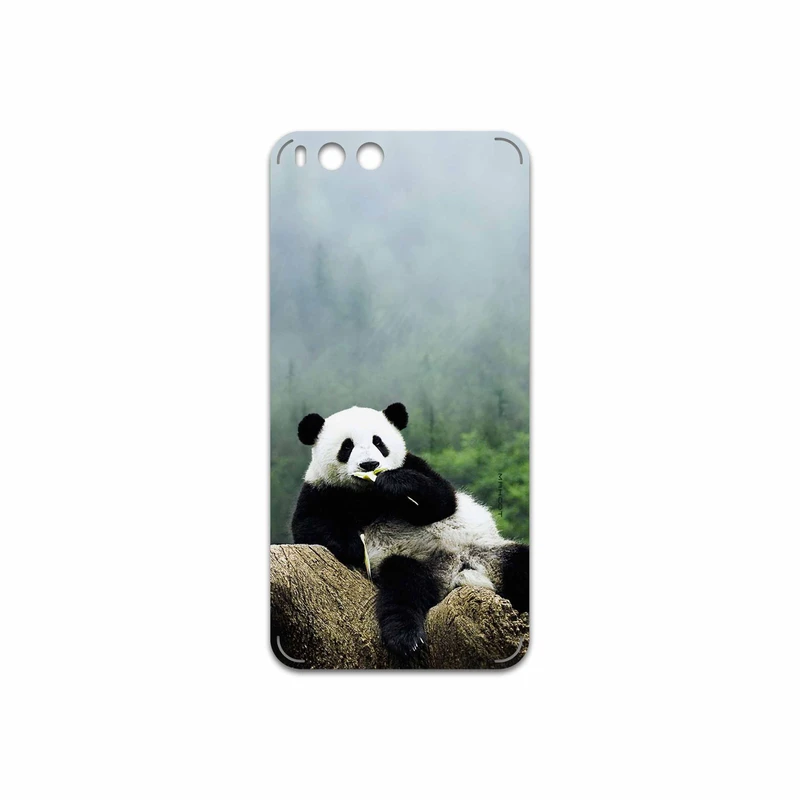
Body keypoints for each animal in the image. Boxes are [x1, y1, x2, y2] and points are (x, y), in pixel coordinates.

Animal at [291, 402, 529, 658]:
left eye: (378, 442)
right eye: (347, 446)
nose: (369, 465)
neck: (367, 495)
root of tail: (457, 571)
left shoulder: (413, 464)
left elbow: (442, 500)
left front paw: (394, 483)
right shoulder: (320, 489)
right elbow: (307, 525)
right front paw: (354, 546)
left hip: (489, 551)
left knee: (520, 563)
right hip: (411, 562)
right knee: (404, 590)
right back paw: (406, 638)